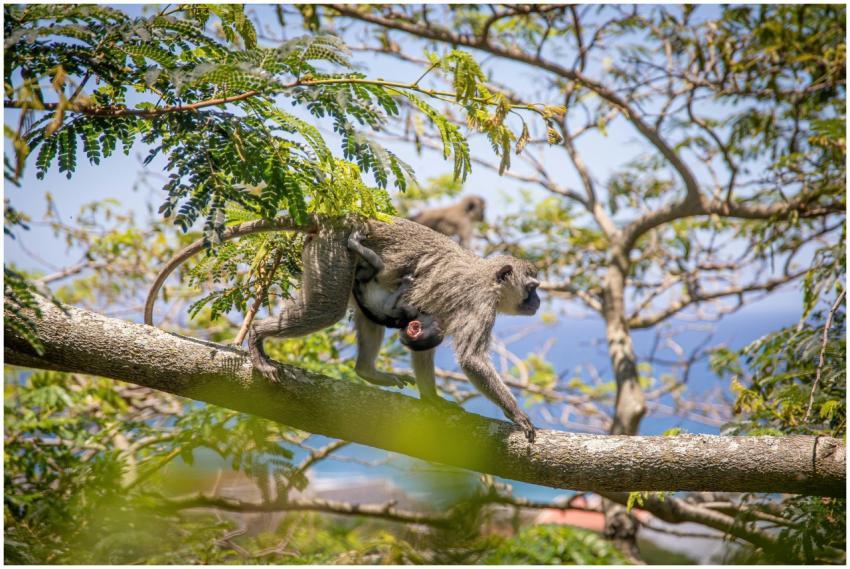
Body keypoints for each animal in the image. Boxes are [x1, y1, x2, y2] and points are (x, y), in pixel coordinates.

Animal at [144, 215, 540, 442]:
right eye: (532, 287)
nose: (537, 302)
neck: (488, 279)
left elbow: (426, 342)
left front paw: (432, 398)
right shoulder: (481, 303)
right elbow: (472, 359)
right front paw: (517, 415)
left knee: (365, 316)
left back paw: (366, 371)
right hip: (331, 253)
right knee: (326, 309)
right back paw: (257, 339)